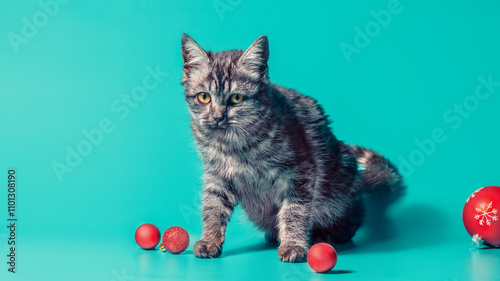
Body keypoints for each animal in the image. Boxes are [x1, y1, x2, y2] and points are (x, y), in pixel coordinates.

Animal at [180, 34, 406, 262]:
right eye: (204, 97)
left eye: (236, 98)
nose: (217, 117)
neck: (234, 146)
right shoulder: (216, 174)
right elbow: (213, 207)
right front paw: (209, 241)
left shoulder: (300, 172)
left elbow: (294, 211)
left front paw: (293, 246)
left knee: (354, 216)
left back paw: (327, 235)